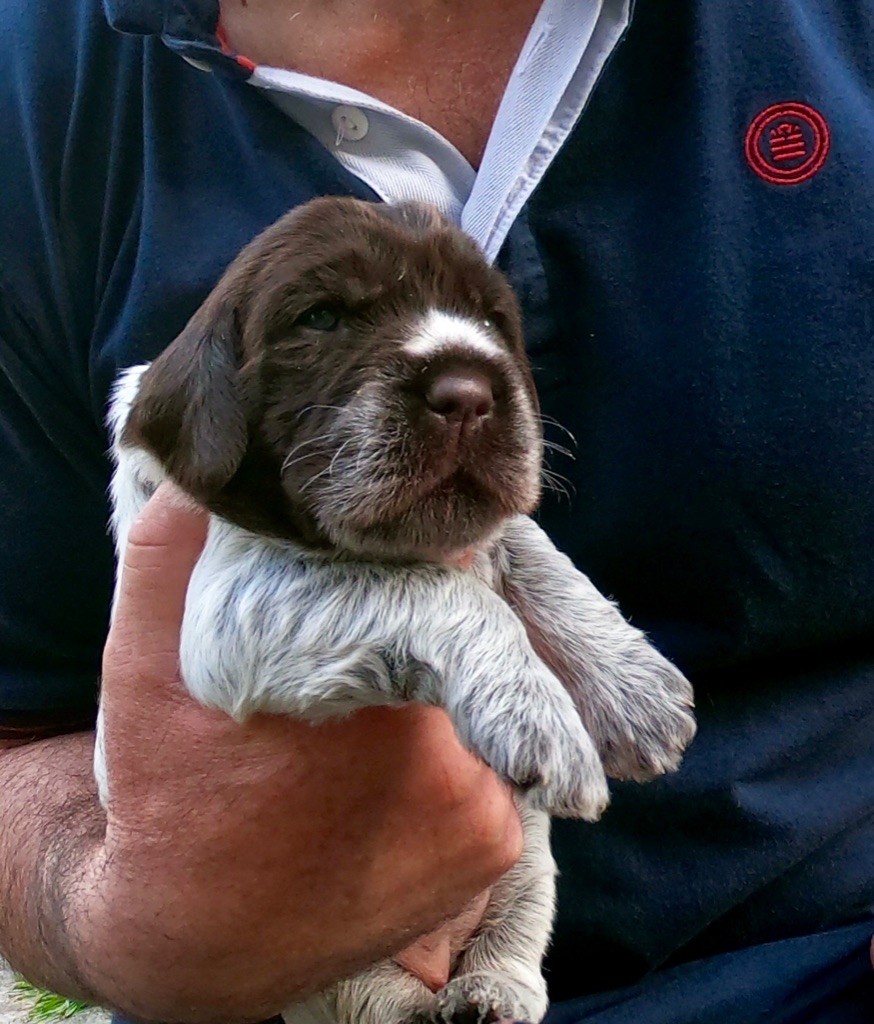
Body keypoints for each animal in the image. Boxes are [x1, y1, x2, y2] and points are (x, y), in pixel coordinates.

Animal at [97, 197, 700, 1024]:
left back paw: (492, 991)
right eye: (322, 317)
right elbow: (433, 589)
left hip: (525, 868)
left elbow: (528, 545)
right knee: (379, 1002)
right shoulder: (231, 605)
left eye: (492, 319)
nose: (470, 393)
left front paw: (635, 690)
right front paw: (536, 713)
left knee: (514, 935)